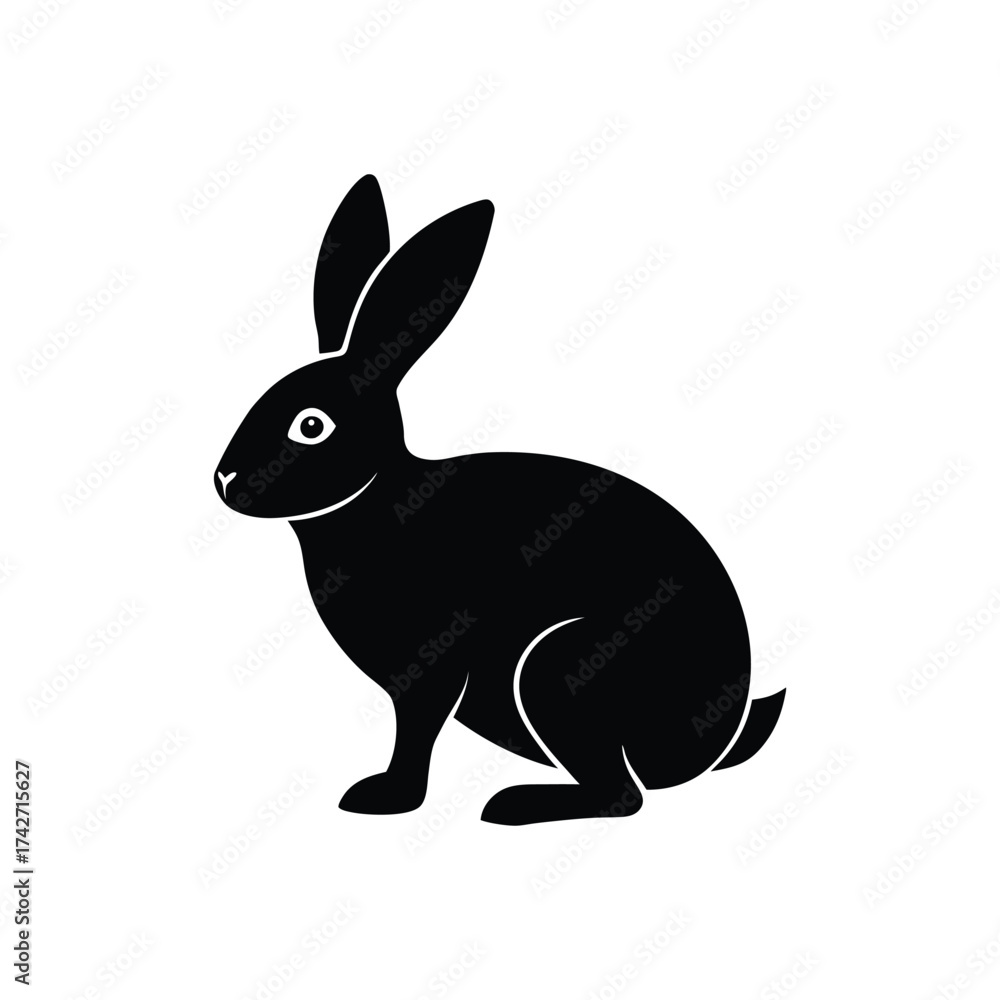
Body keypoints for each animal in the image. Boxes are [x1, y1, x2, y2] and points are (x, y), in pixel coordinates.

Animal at [215, 175, 786, 826]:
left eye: (311, 426)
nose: (225, 480)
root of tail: (717, 738)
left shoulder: (432, 666)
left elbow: (416, 731)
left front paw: (385, 798)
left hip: (557, 668)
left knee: (624, 796)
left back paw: (514, 804)